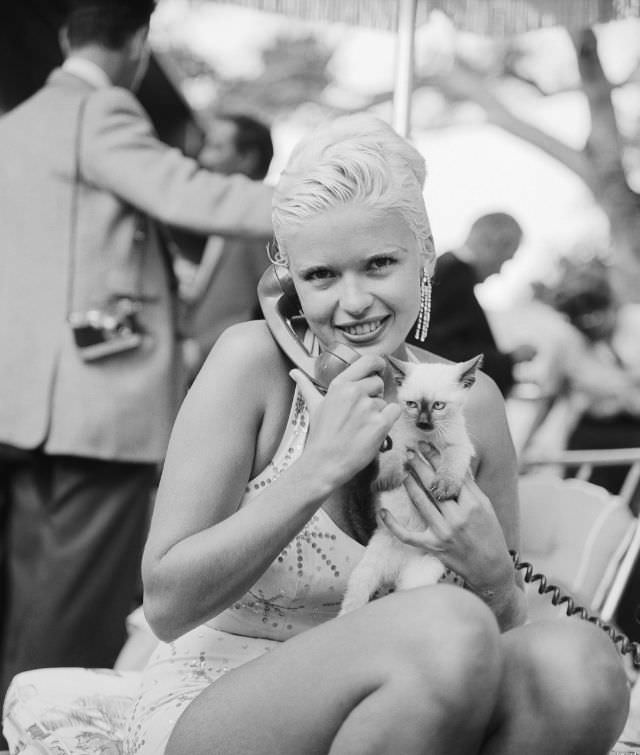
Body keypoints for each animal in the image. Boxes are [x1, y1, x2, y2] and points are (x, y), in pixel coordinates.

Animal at [340, 354, 480, 616]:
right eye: (412, 404)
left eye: (438, 406)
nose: (423, 422)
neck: (426, 439)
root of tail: (395, 570)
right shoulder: (396, 442)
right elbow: (394, 460)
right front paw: (389, 480)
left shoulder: (459, 448)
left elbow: (450, 466)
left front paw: (444, 488)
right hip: (367, 571)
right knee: (354, 599)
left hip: (420, 575)